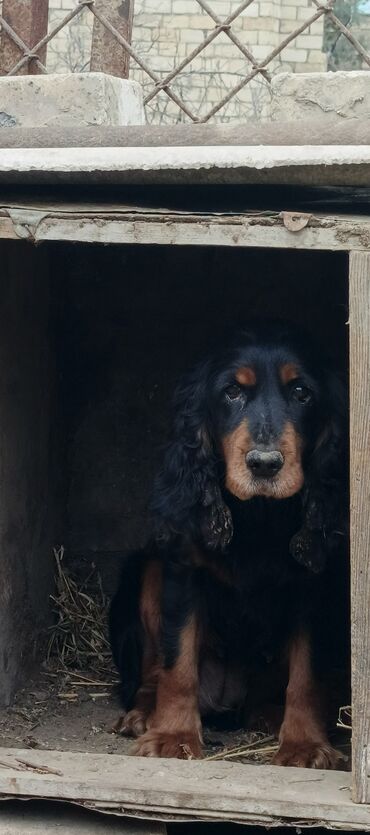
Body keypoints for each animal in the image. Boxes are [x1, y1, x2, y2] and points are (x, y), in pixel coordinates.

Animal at [109, 324, 346, 768]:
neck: (259, 514)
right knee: (152, 673)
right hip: (149, 571)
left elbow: (307, 674)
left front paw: (304, 744)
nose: (265, 464)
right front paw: (173, 735)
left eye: (302, 392)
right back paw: (143, 712)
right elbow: (178, 663)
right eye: (232, 392)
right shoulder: (183, 571)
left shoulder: (314, 586)